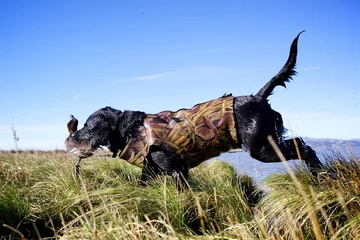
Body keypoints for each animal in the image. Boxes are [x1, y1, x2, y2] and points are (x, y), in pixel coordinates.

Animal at [64, 31, 330, 189]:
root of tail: (257, 97)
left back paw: (321, 175)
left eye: (87, 125)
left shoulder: (177, 169)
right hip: (267, 142)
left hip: (261, 147)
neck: (132, 130)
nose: (72, 137)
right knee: (300, 143)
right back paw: (319, 175)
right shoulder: (150, 171)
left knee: (304, 147)